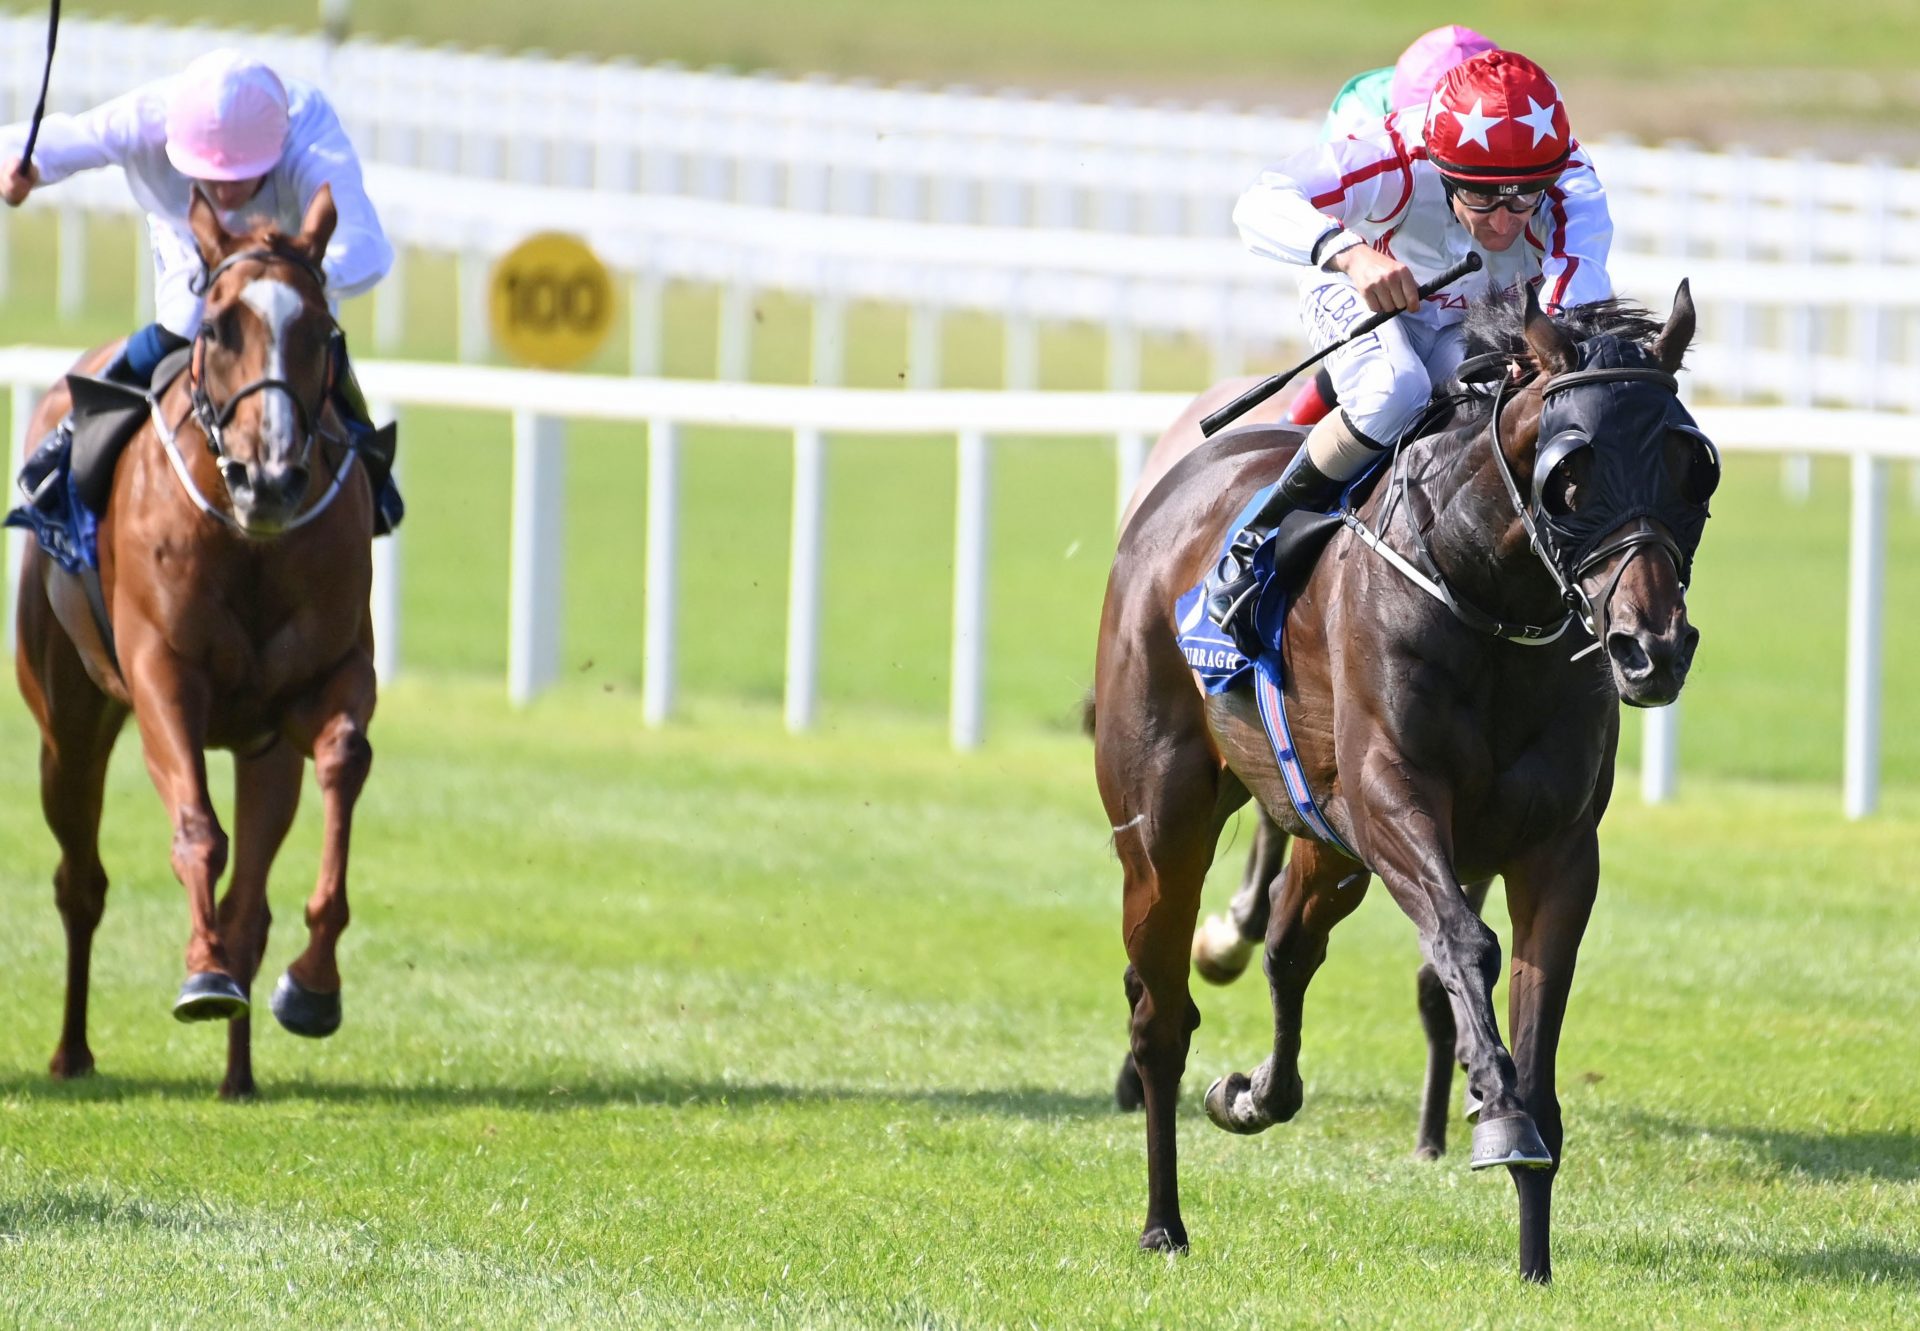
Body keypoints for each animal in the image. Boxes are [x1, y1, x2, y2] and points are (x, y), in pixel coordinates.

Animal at [17, 187, 378, 1098]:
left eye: (322, 330)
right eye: (218, 327)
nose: (271, 479)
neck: (250, 542)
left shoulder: (323, 682)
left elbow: (343, 759)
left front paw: (313, 984)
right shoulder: (161, 678)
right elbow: (195, 829)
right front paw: (202, 972)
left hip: (260, 752)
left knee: (250, 899)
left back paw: (239, 1074)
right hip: (67, 723)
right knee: (79, 879)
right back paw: (72, 1051)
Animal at [1098, 286, 1712, 1282]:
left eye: (1692, 470)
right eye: (1570, 479)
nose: (1648, 646)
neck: (1491, 602)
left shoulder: (1555, 846)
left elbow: (1538, 1004)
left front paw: (1534, 1248)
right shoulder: (1393, 798)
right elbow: (1465, 945)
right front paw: (1495, 1113)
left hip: (1326, 839)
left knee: (1287, 946)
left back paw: (1254, 1092)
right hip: (1161, 819)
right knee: (1160, 1015)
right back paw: (1164, 1220)